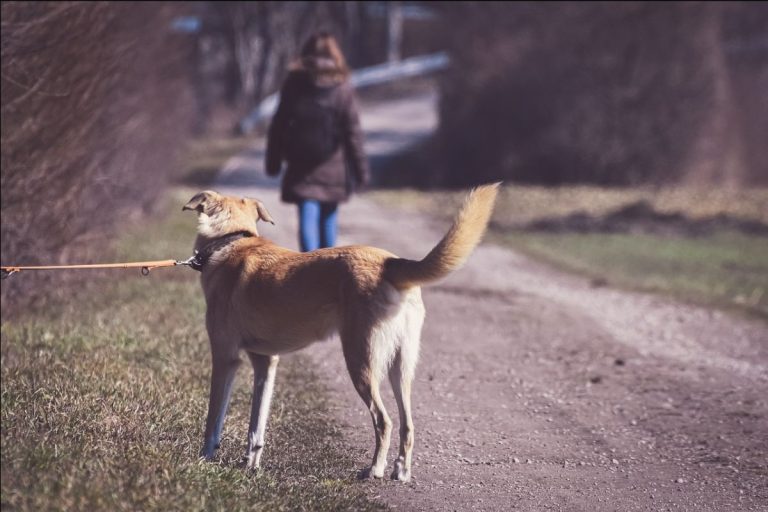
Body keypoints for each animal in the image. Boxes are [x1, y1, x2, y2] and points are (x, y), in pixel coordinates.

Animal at [184, 184, 500, 480]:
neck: (231, 241)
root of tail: (390, 263)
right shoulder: (266, 362)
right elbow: (257, 425)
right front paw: (250, 464)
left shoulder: (225, 358)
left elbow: (214, 418)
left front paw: (203, 459)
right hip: (400, 367)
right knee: (408, 424)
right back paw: (401, 470)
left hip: (361, 360)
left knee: (384, 420)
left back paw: (375, 469)